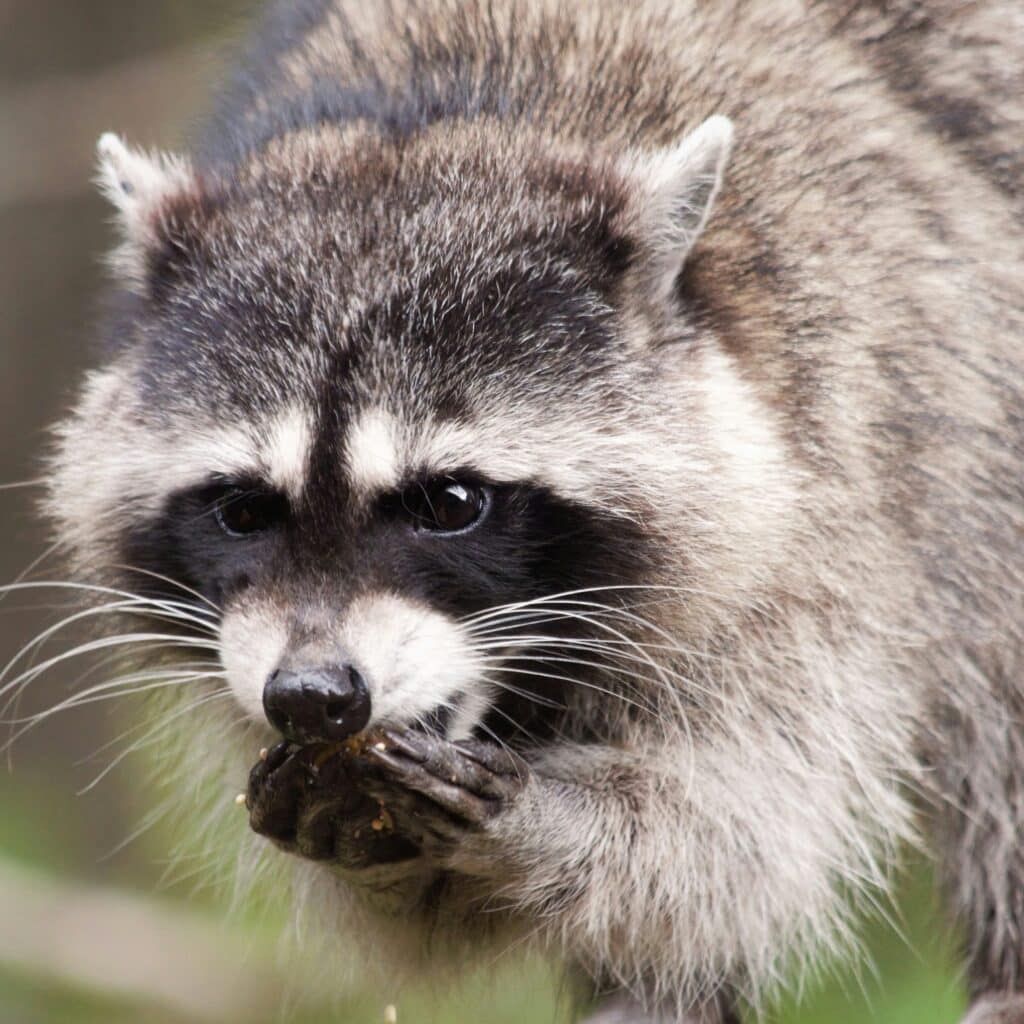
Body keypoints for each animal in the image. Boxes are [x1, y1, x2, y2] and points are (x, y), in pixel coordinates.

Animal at [32, 0, 1024, 1019]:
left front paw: (547, 822)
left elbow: (743, 833)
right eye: (240, 508)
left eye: (450, 503)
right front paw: (386, 861)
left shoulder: (849, 463)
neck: (460, 109)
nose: (312, 696)